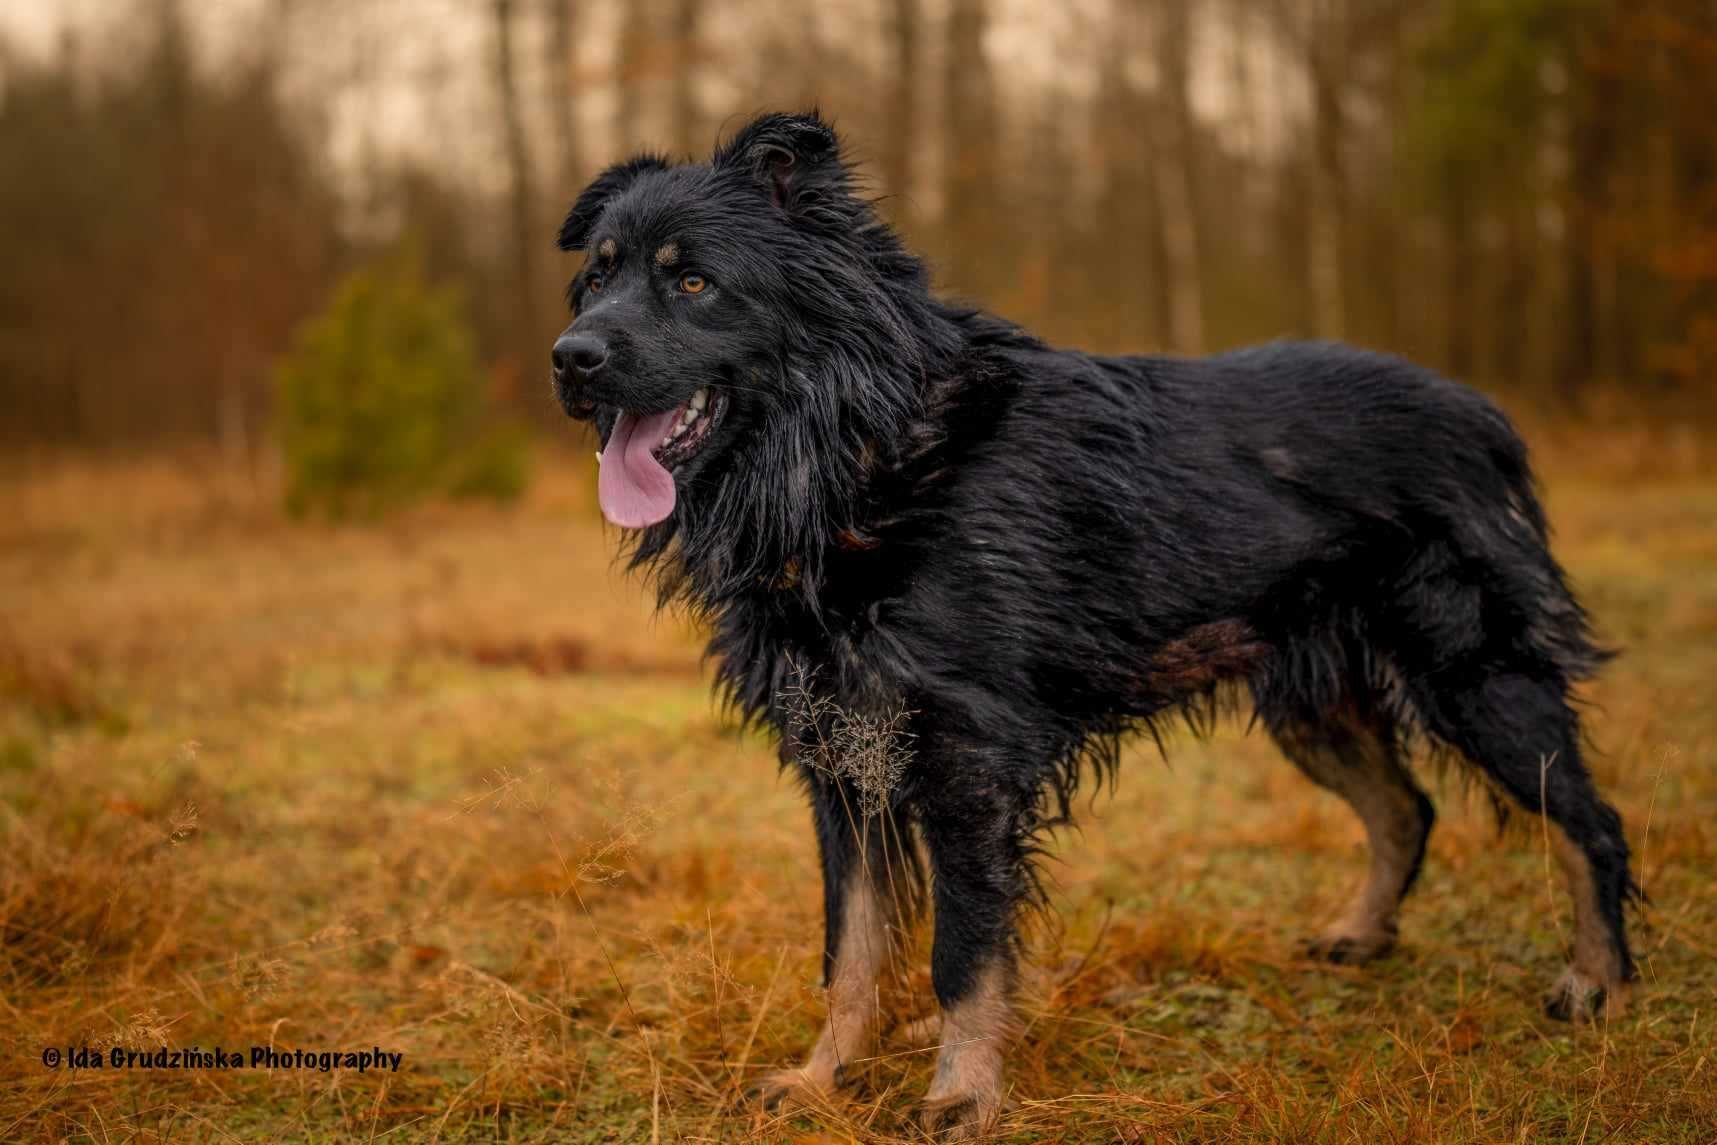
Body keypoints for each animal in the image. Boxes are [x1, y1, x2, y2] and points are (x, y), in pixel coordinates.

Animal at [549, 109, 1634, 1139]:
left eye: (693, 281)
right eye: (596, 278)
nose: (569, 358)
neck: (864, 461)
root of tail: (1481, 411)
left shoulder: (966, 762)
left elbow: (959, 952)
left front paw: (961, 1095)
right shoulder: (841, 761)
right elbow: (849, 948)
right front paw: (824, 1080)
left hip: (1474, 672)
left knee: (1587, 819)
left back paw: (1595, 979)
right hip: (1311, 699)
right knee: (1405, 808)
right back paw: (1362, 934)